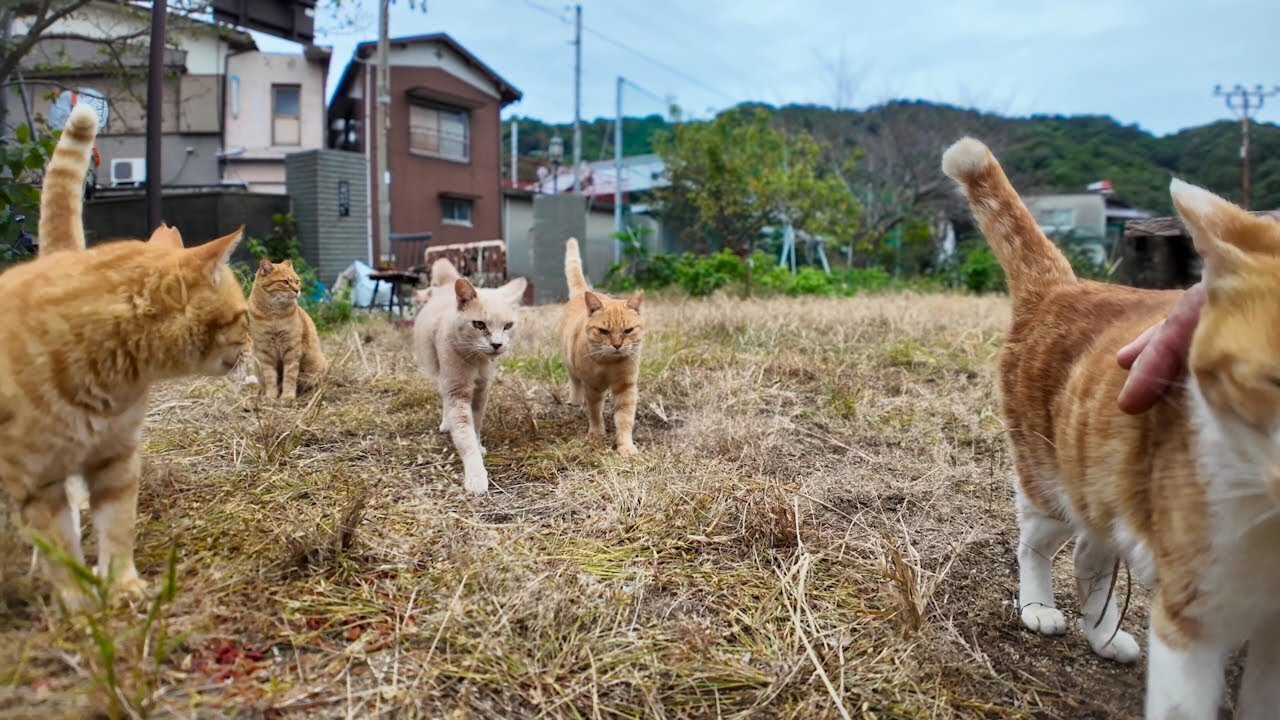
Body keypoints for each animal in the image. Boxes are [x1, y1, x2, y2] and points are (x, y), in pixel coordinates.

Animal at [0, 102, 249, 604]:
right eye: (241, 316)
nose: (252, 345)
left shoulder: (115, 461)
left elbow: (117, 530)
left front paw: (122, 588)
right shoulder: (35, 479)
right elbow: (61, 549)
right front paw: (82, 607)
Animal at [244, 257, 325, 404]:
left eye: (297, 281)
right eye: (285, 282)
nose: (297, 290)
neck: (273, 315)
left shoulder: (291, 351)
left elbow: (289, 377)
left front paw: (287, 397)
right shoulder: (265, 353)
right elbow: (270, 378)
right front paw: (271, 397)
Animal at [412, 257, 527, 491]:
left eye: (508, 326)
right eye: (479, 324)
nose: (497, 344)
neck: (477, 361)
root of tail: (448, 284)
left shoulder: (481, 391)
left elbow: (476, 425)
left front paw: (479, 444)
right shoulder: (457, 391)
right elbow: (465, 434)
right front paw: (476, 475)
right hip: (440, 374)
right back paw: (446, 424)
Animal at [560, 238, 645, 456]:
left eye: (627, 330)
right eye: (604, 331)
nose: (617, 345)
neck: (610, 364)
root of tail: (583, 293)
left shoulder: (626, 387)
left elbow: (624, 419)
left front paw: (625, 446)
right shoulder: (593, 386)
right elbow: (595, 411)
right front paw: (597, 434)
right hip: (570, 364)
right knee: (575, 382)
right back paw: (575, 401)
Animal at [942, 137, 1280, 712]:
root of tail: (1064, 285)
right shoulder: (1193, 613)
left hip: (1105, 485)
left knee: (1087, 555)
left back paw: (1101, 634)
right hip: (1054, 484)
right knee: (1034, 544)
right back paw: (1038, 607)